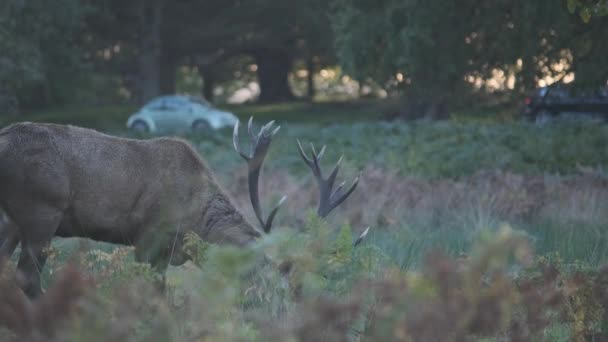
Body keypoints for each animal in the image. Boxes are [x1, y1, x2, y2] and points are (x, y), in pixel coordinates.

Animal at [0, 117, 366, 296]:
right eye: (269, 279)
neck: (197, 222)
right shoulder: (146, 237)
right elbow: (154, 294)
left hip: (12, 221)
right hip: (41, 210)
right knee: (27, 277)